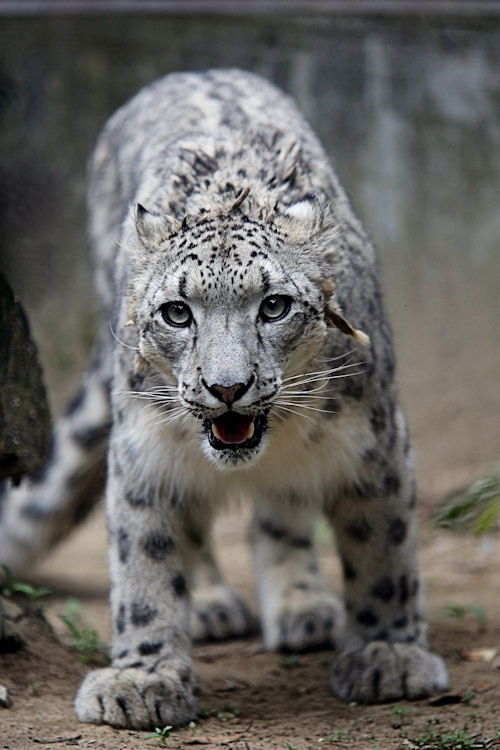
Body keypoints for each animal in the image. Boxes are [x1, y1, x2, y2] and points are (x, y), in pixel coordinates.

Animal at [0, 70, 446, 728]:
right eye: (177, 313)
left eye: (274, 305)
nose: (228, 388)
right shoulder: (142, 449)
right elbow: (144, 558)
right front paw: (141, 678)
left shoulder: (376, 439)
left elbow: (383, 549)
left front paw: (387, 655)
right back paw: (210, 603)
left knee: (283, 507)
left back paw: (303, 605)